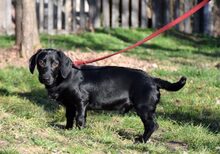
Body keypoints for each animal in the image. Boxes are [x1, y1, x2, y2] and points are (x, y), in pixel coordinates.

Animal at [28, 48, 187, 143]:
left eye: (55, 64)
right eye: (41, 62)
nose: (45, 78)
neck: (65, 77)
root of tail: (153, 79)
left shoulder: (81, 102)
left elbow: (79, 119)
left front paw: (80, 132)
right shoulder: (70, 105)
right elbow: (69, 118)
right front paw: (67, 130)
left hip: (144, 108)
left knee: (152, 125)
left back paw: (141, 140)